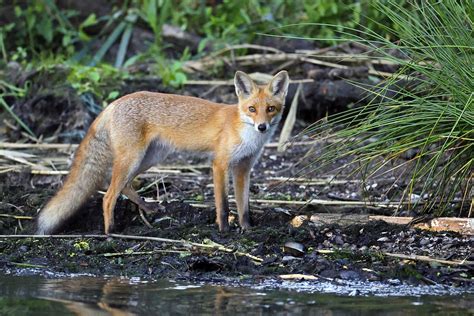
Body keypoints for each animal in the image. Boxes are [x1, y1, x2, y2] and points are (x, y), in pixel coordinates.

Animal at [36, 71, 288, 235]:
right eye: (252, 109)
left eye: (271, 109)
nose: (262, 127)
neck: (245, 133)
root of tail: (116, 102)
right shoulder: (220, 164)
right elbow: (224, 205)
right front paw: (224, 231)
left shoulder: (243, 168)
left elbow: (244, 205)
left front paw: (247, 229)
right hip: (133, 158)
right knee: (108, 195)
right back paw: (110, 232)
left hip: (149, 158)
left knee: (123, 186)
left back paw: (147, 208)